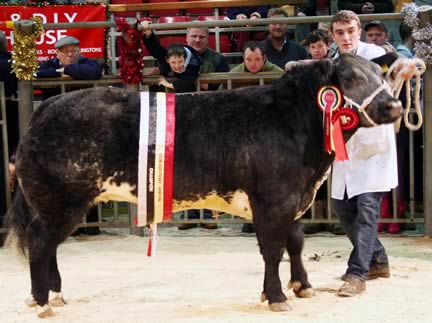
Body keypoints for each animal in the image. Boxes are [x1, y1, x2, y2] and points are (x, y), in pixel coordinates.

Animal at [4, 54, 402, 318]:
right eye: (351, 79)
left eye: (380, 74)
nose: (396, 106)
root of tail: (47, 107)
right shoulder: (273, 199)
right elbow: (273, 250)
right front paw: (276, 296)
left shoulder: (295, 198)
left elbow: (296, 243)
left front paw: (302, 286)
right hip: (60, 200)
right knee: (41, 243)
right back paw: (43, 301)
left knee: (49, 246)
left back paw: (55, 294)